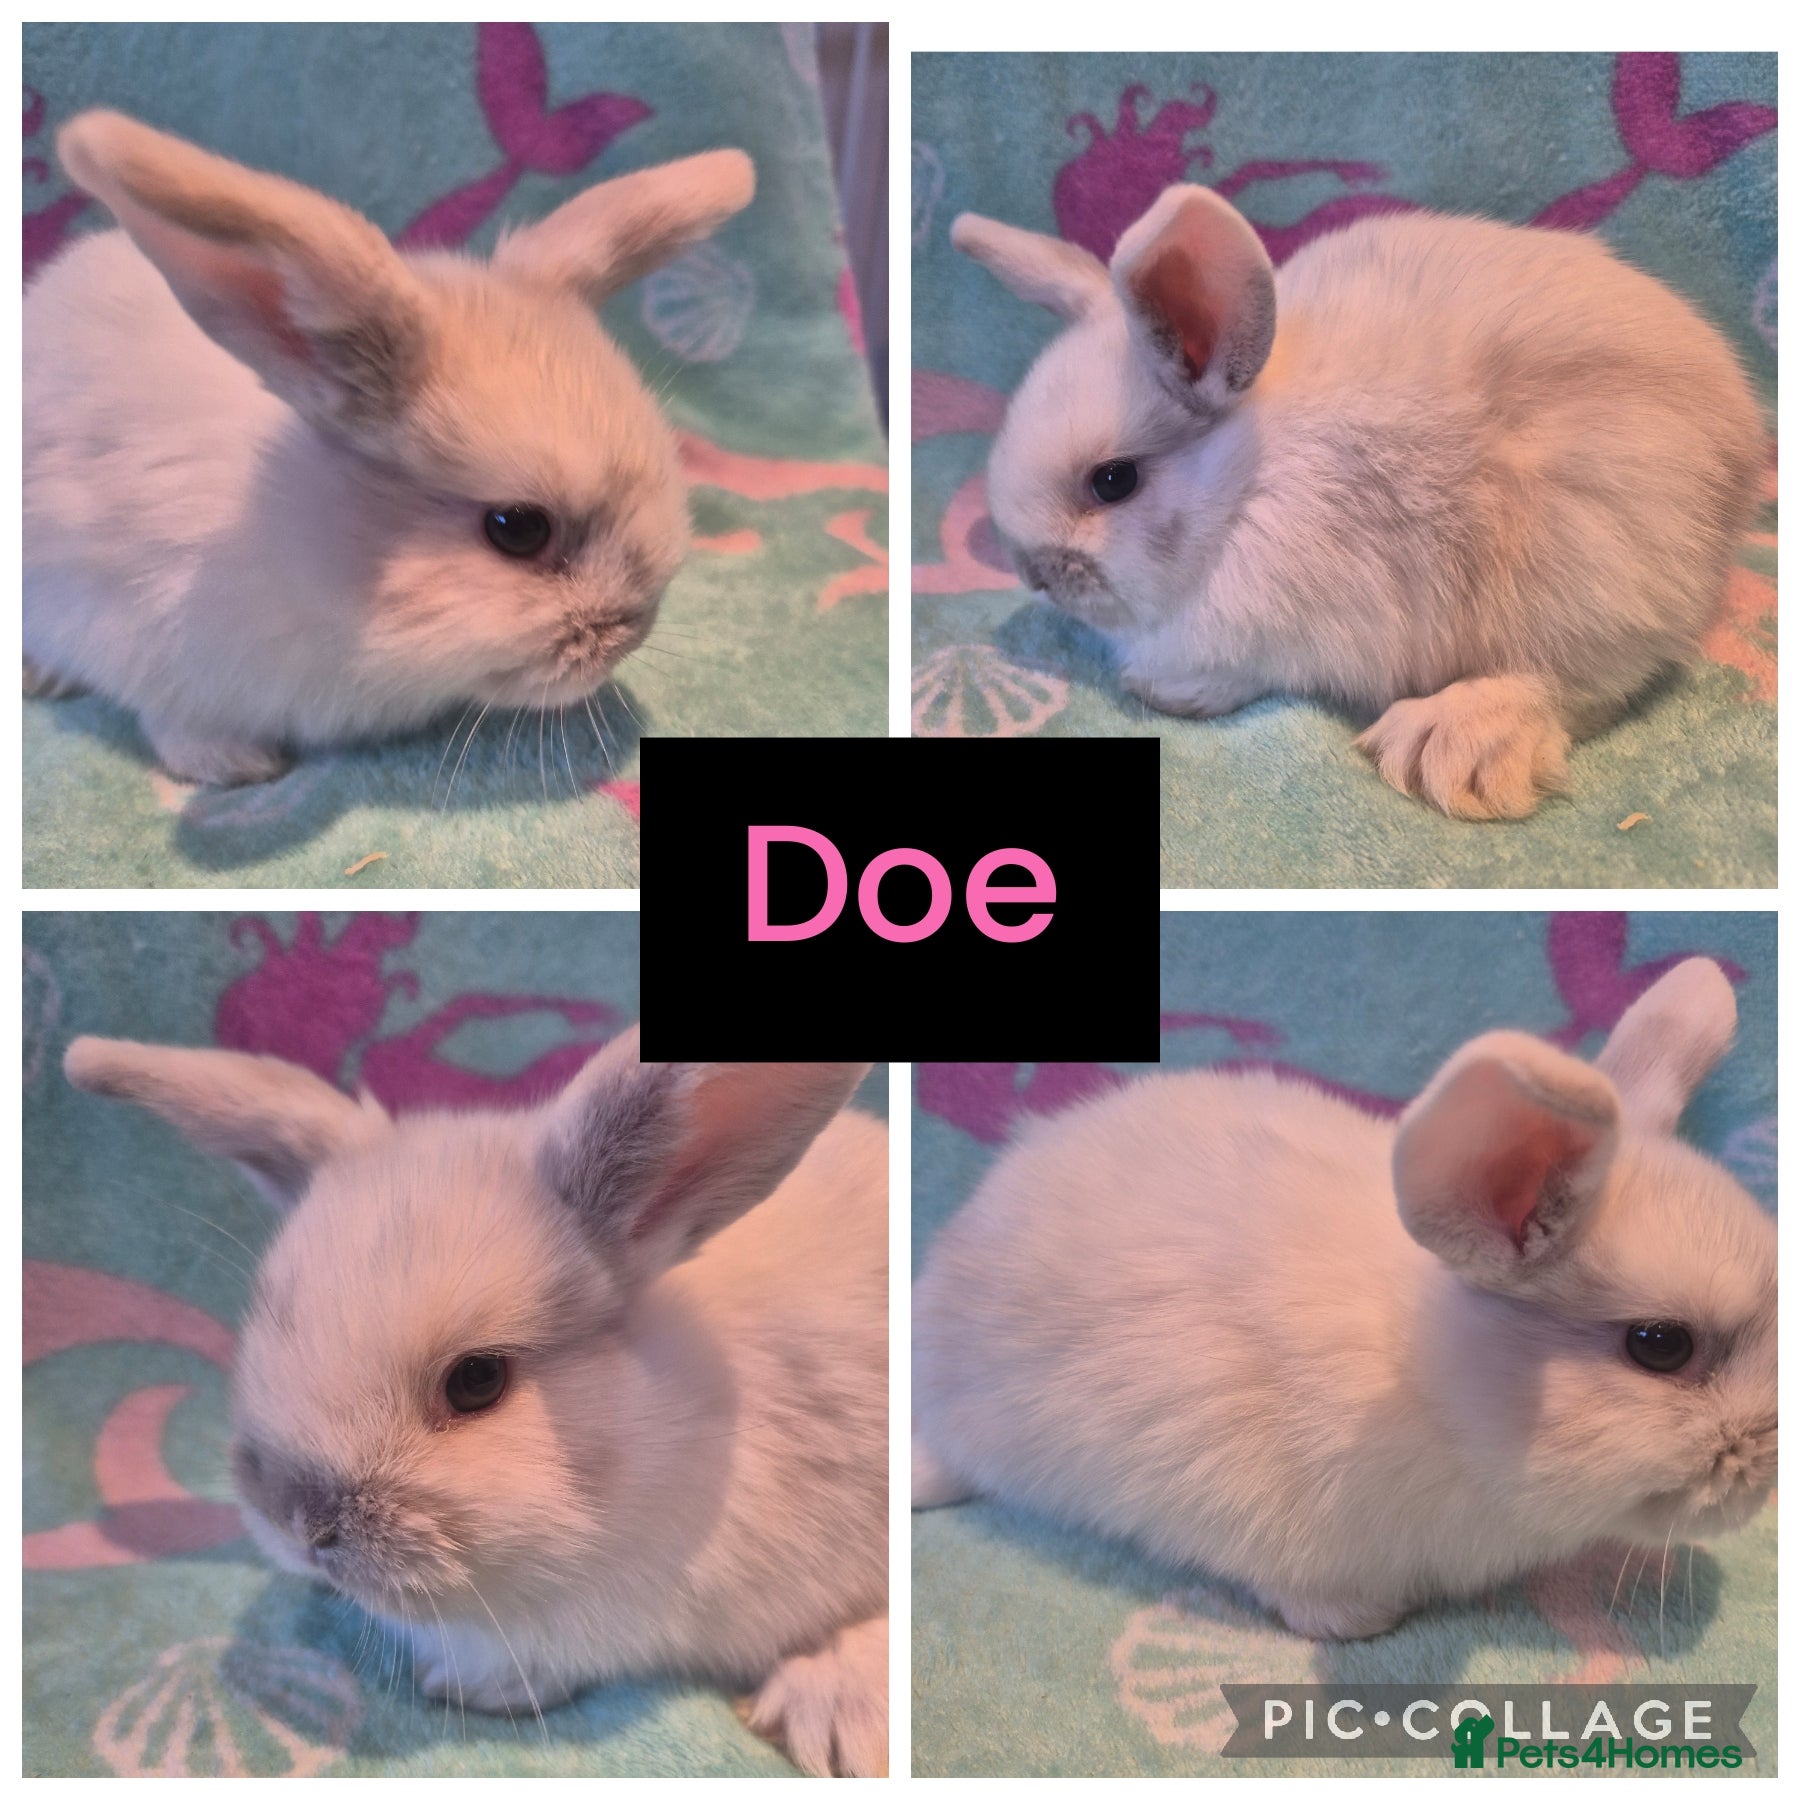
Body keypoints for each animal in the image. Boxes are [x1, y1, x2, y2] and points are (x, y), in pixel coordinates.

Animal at [24, 110, 755, 786]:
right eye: (517, 529)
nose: (633, 630)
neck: (305, 539)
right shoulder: (140, 640)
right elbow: (174, 722)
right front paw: (238, 768)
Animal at [953, 187, 1767, 819]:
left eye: (1113, 481)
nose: (1033, 574)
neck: (1248, 485)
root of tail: (1738, 452)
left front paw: (1162, 692)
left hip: (1588, 562)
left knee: (1571, 683)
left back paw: (1447, 747)